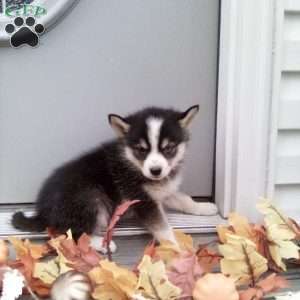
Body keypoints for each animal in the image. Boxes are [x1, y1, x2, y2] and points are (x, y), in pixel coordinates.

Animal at [11, 105, 217, 251]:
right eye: (141, 149)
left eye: (168, 148)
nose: (156, 170)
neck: (132, 163)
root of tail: (44, 211)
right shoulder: (142, 201)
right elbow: (162, 227)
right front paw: (176, 247)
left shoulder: (163, 191)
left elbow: (184, 199)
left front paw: (204, 207)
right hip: (91, 197)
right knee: (71, 234)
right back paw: (101, 243)